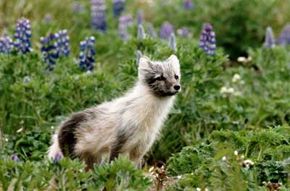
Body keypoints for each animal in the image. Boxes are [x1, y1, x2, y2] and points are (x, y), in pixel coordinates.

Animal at [48, 54, 181, 169]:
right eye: (160, 77)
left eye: (176, 76)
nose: (177, 86)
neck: (149, 119)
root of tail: (58, 129)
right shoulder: (119, 144)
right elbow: (114, 166)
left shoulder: (140, 149)